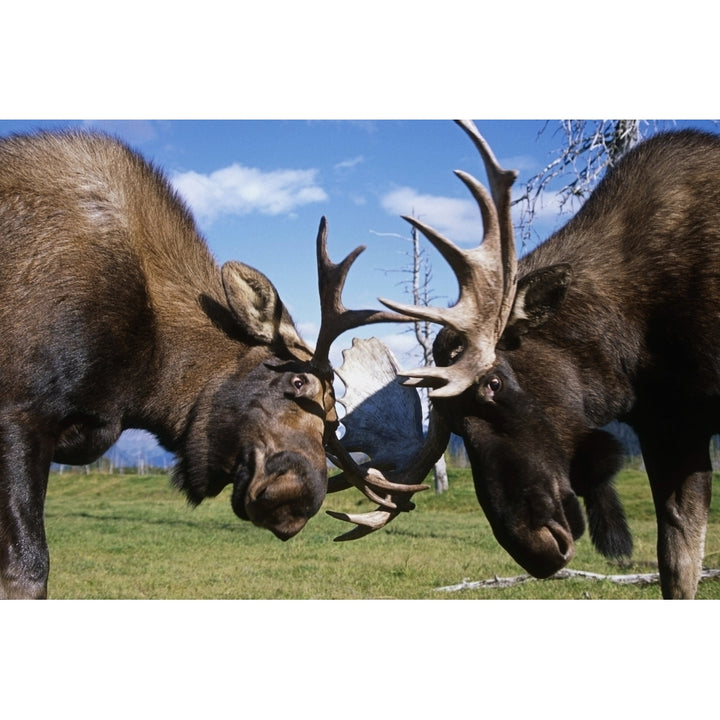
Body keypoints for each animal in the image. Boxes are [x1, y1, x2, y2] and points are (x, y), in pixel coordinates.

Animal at [0, 128, 422, 596]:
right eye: (297, 383)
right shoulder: (20, 411)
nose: (296, 501)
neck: (142, 379)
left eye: (332, 426)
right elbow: (27, 569)